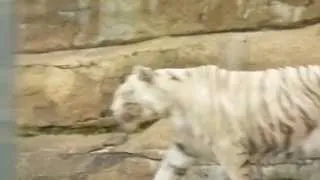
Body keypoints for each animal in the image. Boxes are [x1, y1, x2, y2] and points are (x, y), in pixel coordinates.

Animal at [107, 64, 320, 180]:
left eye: (124, 94)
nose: (111, 110)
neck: (172, 106)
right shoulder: (184, 147)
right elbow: (166, 170)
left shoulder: (229, 147)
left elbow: (238, 174)